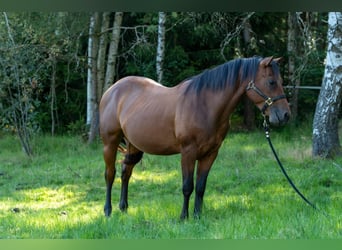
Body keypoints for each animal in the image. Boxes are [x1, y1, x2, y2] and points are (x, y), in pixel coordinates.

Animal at [99, 56, 292, 219]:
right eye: (271, 82)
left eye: (281, 82)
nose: (285, 115)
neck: (205, 105)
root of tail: (111, 90)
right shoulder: (188, 152)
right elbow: (187, 186)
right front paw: (183, 217)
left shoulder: (210, 153)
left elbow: (200, 187)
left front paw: (198, 216)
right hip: (110, 142)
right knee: (110, 174)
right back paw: (108, 211)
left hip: (134, 146)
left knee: (126, 172)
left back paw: (123, 208)